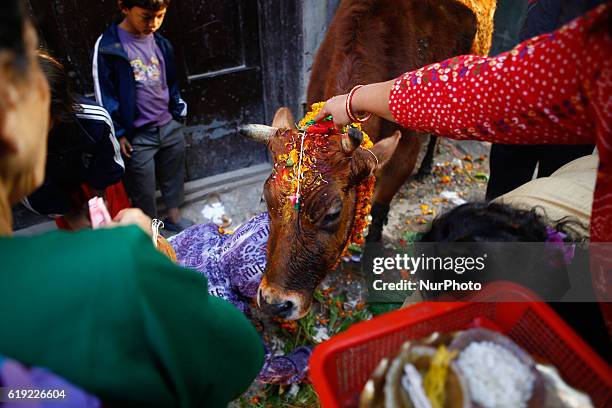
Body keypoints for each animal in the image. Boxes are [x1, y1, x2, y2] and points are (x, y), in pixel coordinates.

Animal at [241, 0, 486, 318]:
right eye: (265, 200)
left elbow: (380, 207)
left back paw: (427, 166)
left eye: (332, 213)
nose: (275, 303)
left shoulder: (404, 152)